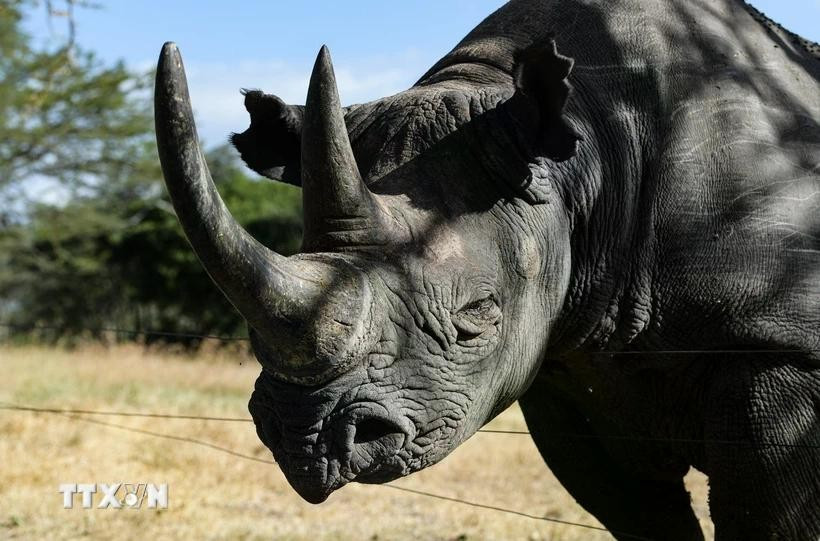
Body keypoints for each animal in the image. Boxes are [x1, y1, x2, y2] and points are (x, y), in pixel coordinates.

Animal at [154, 0, 819, 538]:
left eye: (478, 314)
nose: (304, 438)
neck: (591, 157)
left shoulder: (777, 347)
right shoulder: (566, 372)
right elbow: (643, 518)